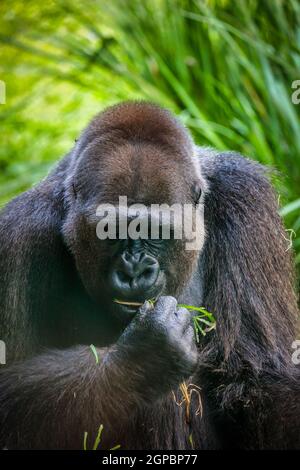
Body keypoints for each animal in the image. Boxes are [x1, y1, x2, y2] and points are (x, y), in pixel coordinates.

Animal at [0, 101, 298, 450]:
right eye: (111, 231)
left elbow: (258, 379)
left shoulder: (245, 197)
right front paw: (142, 359)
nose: (135, 269)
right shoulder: (18, 234)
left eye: (155, 231)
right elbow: (8, 392)